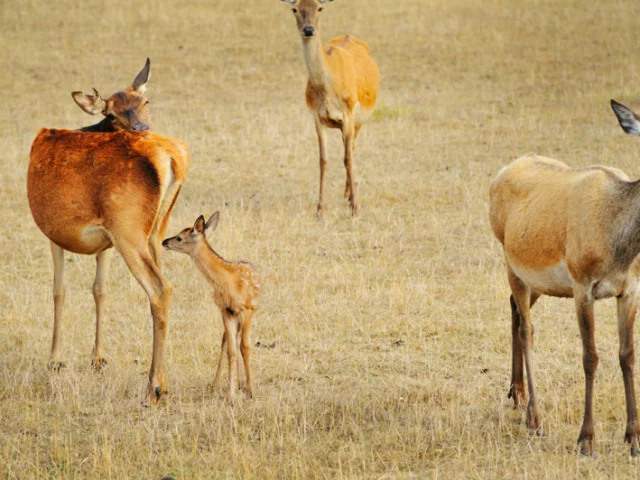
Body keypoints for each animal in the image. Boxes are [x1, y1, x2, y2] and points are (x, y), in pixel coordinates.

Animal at [27, 59, 188, 404]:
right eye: (111, 114)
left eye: (146, 101)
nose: (142, 128)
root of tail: (172, 157)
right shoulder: (106, 243)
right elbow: (99, 290)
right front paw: (98, 358)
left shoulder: (52, 232)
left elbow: (58, 290)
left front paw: (55, 360)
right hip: (155, 231)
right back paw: (164, 380)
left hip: (129, 229)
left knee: (160, 289)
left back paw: (153, 388)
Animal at [162, 212, 260, 404]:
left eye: (179, 237)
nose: (164, 242)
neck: (229, 282)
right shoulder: (225, 310)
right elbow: (231, 350)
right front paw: (230, 396)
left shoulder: (247, 310)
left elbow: (245, 347)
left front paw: (250, 391)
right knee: (227, 341)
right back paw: (223, 384)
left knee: (239, 342)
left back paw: (243, 384)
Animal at [282, 0, 380, 216]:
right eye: (294, 9)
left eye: (320, 8)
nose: (308, 29)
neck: (329, 90)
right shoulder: (317, 117)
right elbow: (323, 160)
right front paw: (320, 209)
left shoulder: (349, 113)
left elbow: (348, 158)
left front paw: (355, 207)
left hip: (359, 119)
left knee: (351, 149)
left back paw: (349, 195)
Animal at [490, 99, 640, 456]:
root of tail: (500, 175)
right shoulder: (582, 284)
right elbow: (590, 356)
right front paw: (586, 440)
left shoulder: (630, 290)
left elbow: (627, 356)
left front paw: (633, 439)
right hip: (511, 261)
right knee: (527, 328)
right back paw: (535, 418)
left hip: (538, 282)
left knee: (515, 311)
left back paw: (517, 395)